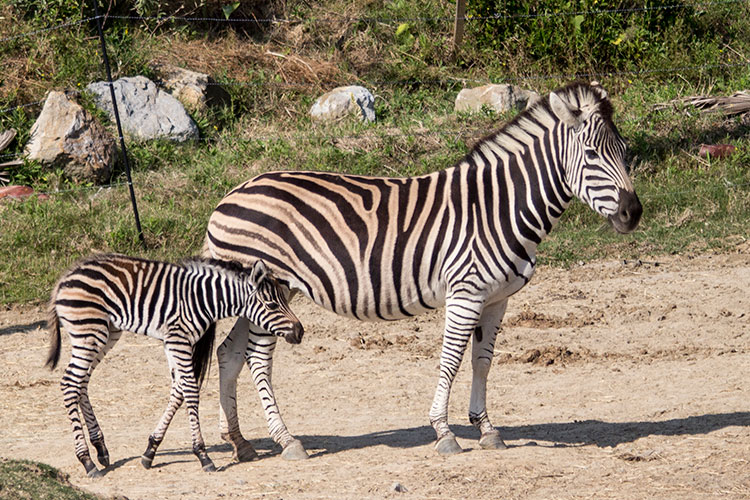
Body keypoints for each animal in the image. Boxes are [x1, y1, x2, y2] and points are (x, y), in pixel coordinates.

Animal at [44, 254, 302, 476]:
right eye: (271, 305)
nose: (300, 332)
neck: (203, 300)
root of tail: (64, 278)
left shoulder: (173, 342)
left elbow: (178, 390)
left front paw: (151, 450)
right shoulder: (179, 340)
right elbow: (190, 389)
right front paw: (203, 456)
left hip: (107, 332)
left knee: (82, 381)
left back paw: (100, 449)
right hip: (90, 331)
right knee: (70, 383)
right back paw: (87, 461)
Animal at [206, 81, 648, 458]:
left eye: (625, 151)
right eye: (591, 154)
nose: (633, 213)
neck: (500, 206)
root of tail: (229, 196)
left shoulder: (497, 300)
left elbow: (482, 361)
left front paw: (487, 429)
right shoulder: (466, 293)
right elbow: (450, 360)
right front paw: (444, 432)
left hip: (255, 298)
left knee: (228, 353)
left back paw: (240, 443)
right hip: (272, 291)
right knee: (257, 358)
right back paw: (286, 440)